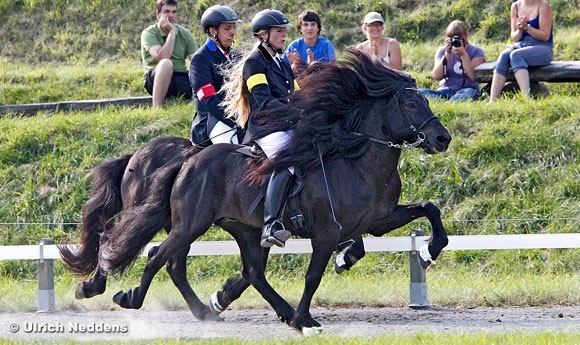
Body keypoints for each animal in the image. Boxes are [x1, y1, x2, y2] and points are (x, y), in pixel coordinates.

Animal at [99, 49, 454, 332]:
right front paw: (306, 316)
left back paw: (267, 311)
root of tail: (189, 160)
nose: (442, 139)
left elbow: (429, 209)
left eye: (425, 99)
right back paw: (131, 298)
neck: (356, 161)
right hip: (191, 223)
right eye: (411, 103)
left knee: (251, 272)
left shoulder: (379, 220)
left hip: (244, 228)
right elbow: (313, 276)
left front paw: (428, 252)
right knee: (160, 256)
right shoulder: (327, 232)